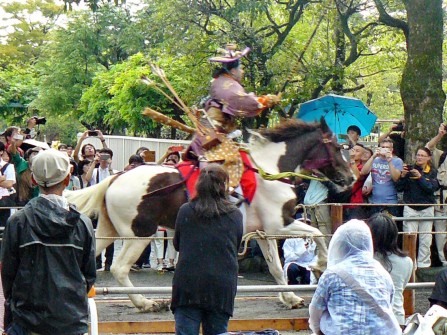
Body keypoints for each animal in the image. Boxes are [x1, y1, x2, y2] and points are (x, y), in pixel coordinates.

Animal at [65, 119, 356, 312]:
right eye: (336, 146)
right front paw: (319, 264)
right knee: (119, 267)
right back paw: (146, 303)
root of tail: (114, 178)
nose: (350, 178)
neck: (269, 170)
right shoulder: (280, 225)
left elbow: (276, 266)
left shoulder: (264, 232)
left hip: (109, 230)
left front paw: (290, 297)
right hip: (140, 233)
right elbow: (318, 234)